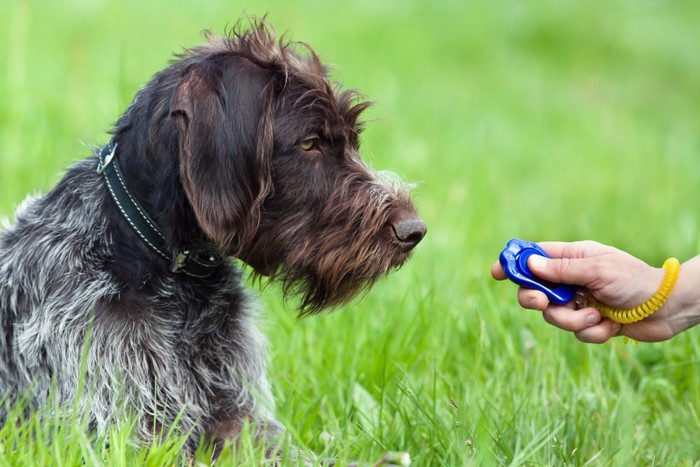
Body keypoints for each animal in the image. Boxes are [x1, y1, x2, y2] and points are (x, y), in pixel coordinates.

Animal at [0, 20, 426, 456]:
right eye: (310, 142)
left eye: (353, 141)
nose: (414, 230)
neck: (173, 278)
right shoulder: (123, 432)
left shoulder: (237, 415)